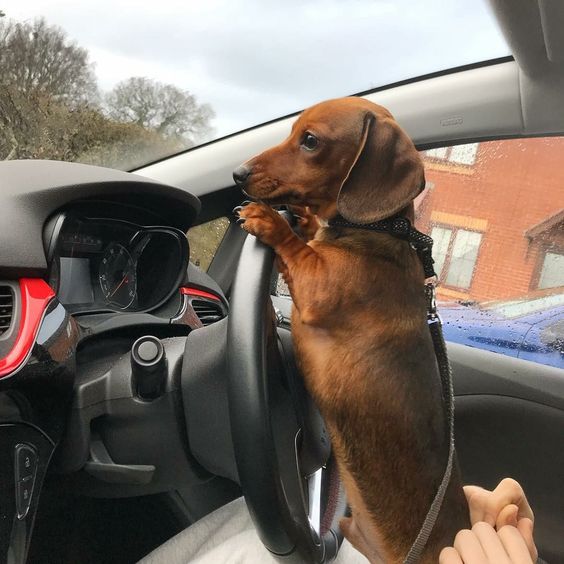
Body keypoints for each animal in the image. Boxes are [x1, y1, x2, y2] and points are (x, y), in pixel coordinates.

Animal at [231, 98, 470, 564]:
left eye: (310, 140)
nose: (238, 173)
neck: (377, 229)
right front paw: (305, 219)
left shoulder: (317, 283)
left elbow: (297, 249)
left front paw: (271, 221)